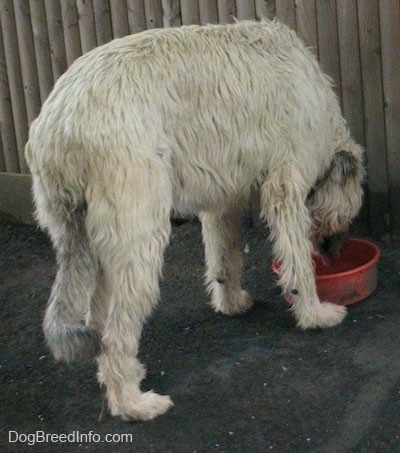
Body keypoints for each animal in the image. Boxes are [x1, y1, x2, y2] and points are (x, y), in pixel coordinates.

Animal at [24, 19, 362, 418]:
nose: (334, 252)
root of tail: (60, 125)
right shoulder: (286, 184)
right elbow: (296, 258)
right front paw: (314, 313)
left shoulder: (223, 198)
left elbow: (224, 255)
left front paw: (231, 302)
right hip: (137, 222)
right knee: (117, 329)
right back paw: (133, 402)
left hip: (84, 230)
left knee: (98, 317)